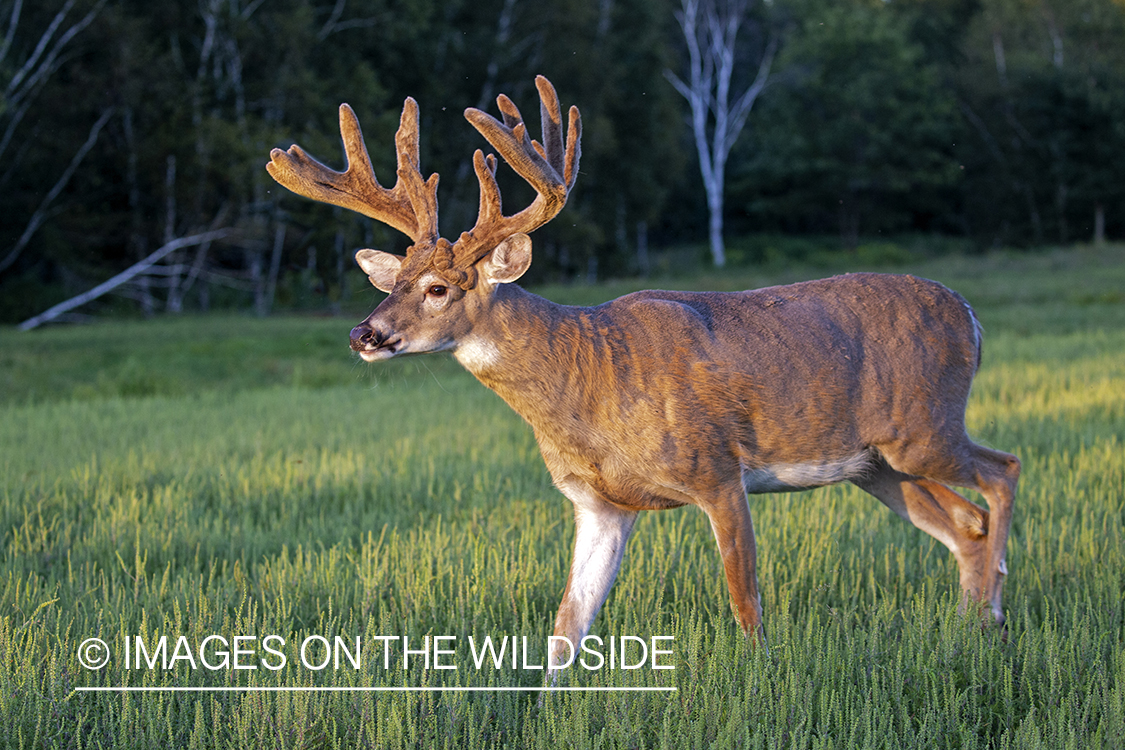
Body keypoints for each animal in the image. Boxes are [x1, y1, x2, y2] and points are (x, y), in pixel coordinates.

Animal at [270, 76, 1021, 674]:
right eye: (392, 282)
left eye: (437, 289)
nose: (364, 334)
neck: (586, 377)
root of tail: (971, 314)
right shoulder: (598, 502)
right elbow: (565, 628)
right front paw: (546, 710)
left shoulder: (716, 470)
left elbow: (745, 604)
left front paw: (761, 682)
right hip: (876, 463)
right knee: (966, 523)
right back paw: (969, 626)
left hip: (923, 427)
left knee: (1003, 470)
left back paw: (993, 615)